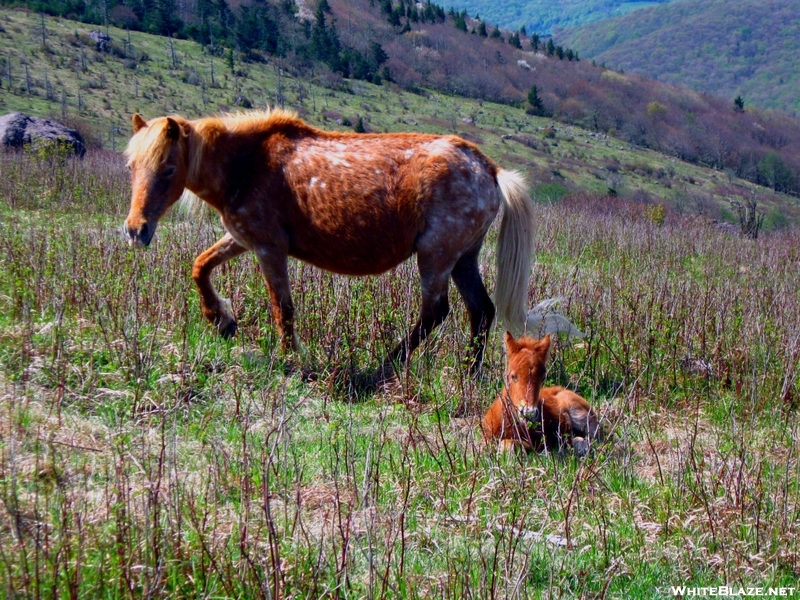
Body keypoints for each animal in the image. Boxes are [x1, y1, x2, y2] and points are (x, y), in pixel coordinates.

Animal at [125, 109, 536, 380]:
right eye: (131, 166)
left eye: (168, 169)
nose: (135, 230)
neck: (246, 164)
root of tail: (490, 169)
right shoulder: (242, 238)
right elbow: (201, 265)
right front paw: (221, 319)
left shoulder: (268, 248)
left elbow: (283, 308)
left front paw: (290, 359)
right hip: (464, 257)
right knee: (480, 310)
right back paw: (468, 371)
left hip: (436, 255)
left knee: (436, 312)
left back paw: (384, 366)